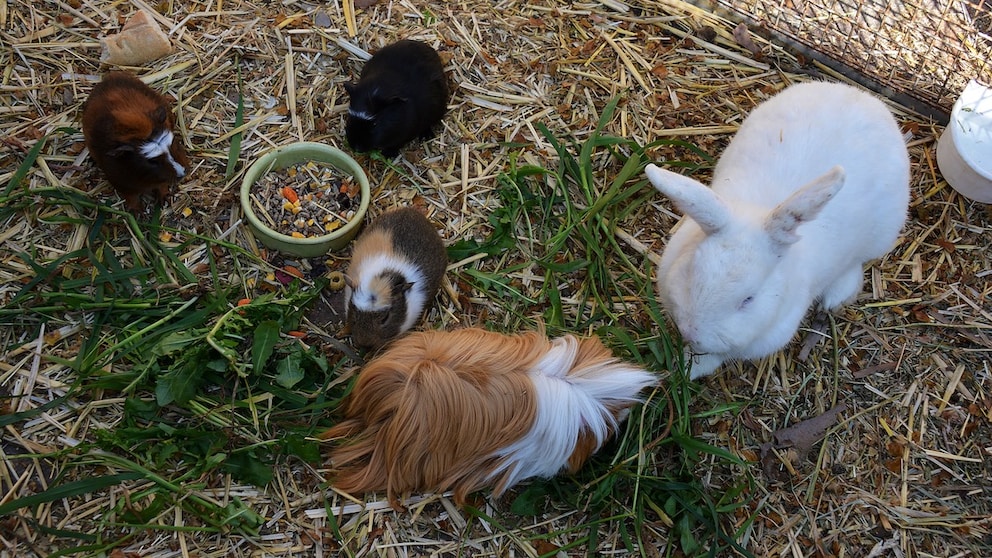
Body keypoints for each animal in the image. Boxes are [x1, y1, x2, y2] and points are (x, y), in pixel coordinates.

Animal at [648, 82, 912, 380]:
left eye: (749, 299)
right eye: (691, 271)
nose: (692, 332)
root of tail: (858, 94)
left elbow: (716, 356)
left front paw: (687, 369)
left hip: (881, 236)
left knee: (855, 265)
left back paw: (834, 298)